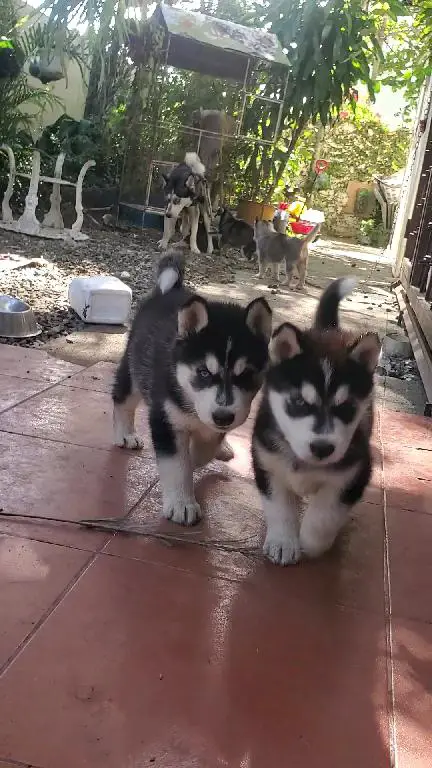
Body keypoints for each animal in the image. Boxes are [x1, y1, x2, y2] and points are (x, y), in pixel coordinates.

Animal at [113, 252, 272, 528]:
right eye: (204, 372)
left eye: (245, 375)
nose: (223, 417)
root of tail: (170, 291)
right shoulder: (165, 418)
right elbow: (177, 465)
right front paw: (182, 504)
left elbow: (206, 445)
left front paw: (199, 455)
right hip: (134, 367)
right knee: (122, 398)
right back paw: (125, 434)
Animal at [251, 280, 380, 568]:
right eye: (299, 401)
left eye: (346, 407)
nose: (323, 448)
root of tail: (328, 330)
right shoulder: (267, 463)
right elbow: (279, 506)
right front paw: (283, 542)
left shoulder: (354, 472)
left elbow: (325, 514)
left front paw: (311, 542)